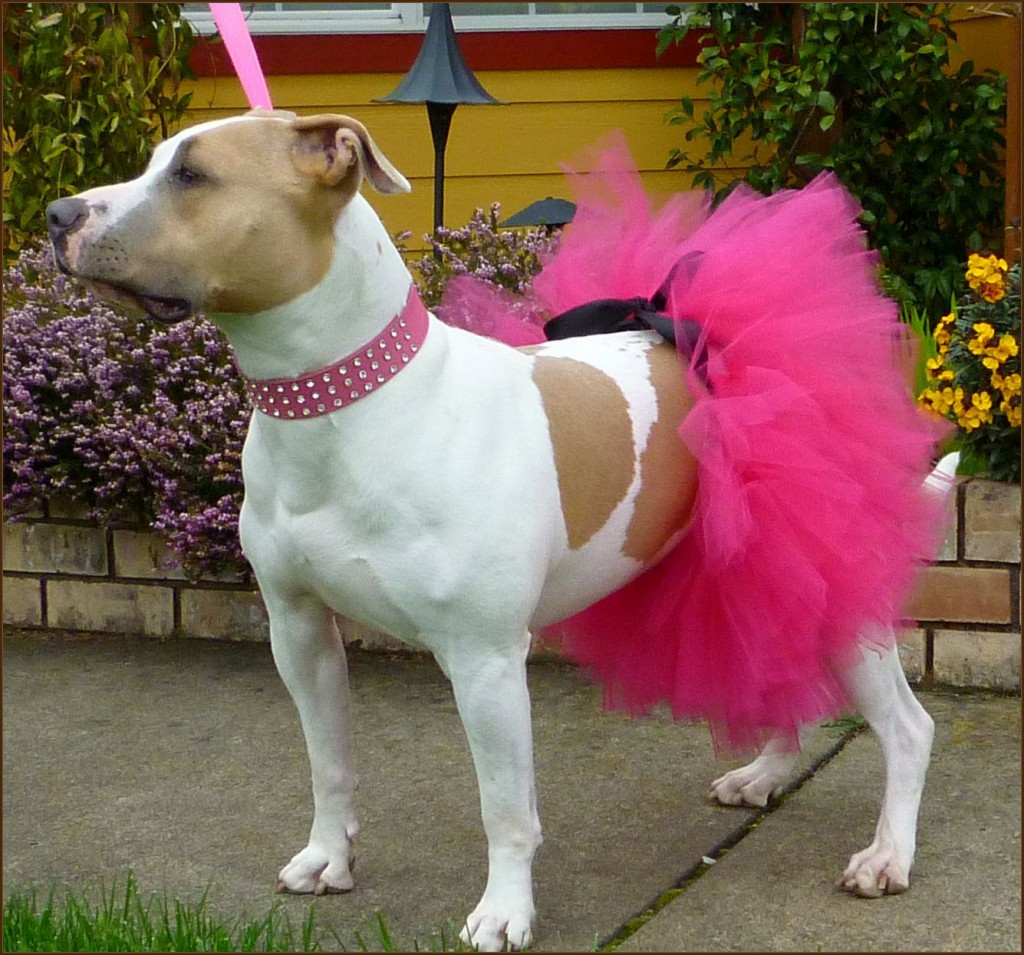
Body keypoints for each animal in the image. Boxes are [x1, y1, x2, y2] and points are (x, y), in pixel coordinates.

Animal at [48, 110, 950, 945]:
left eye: (193, 176)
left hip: (827, 576)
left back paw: (886, 855)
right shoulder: (299, 631)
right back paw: (765, 773)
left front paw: (505, 911)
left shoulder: (483, 658)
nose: (58, 213)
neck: (341, 407)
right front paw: (330, 858)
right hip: (739, 561)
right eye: (154, 162)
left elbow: (505, 804)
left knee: (907, 727)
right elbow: (328, 761)